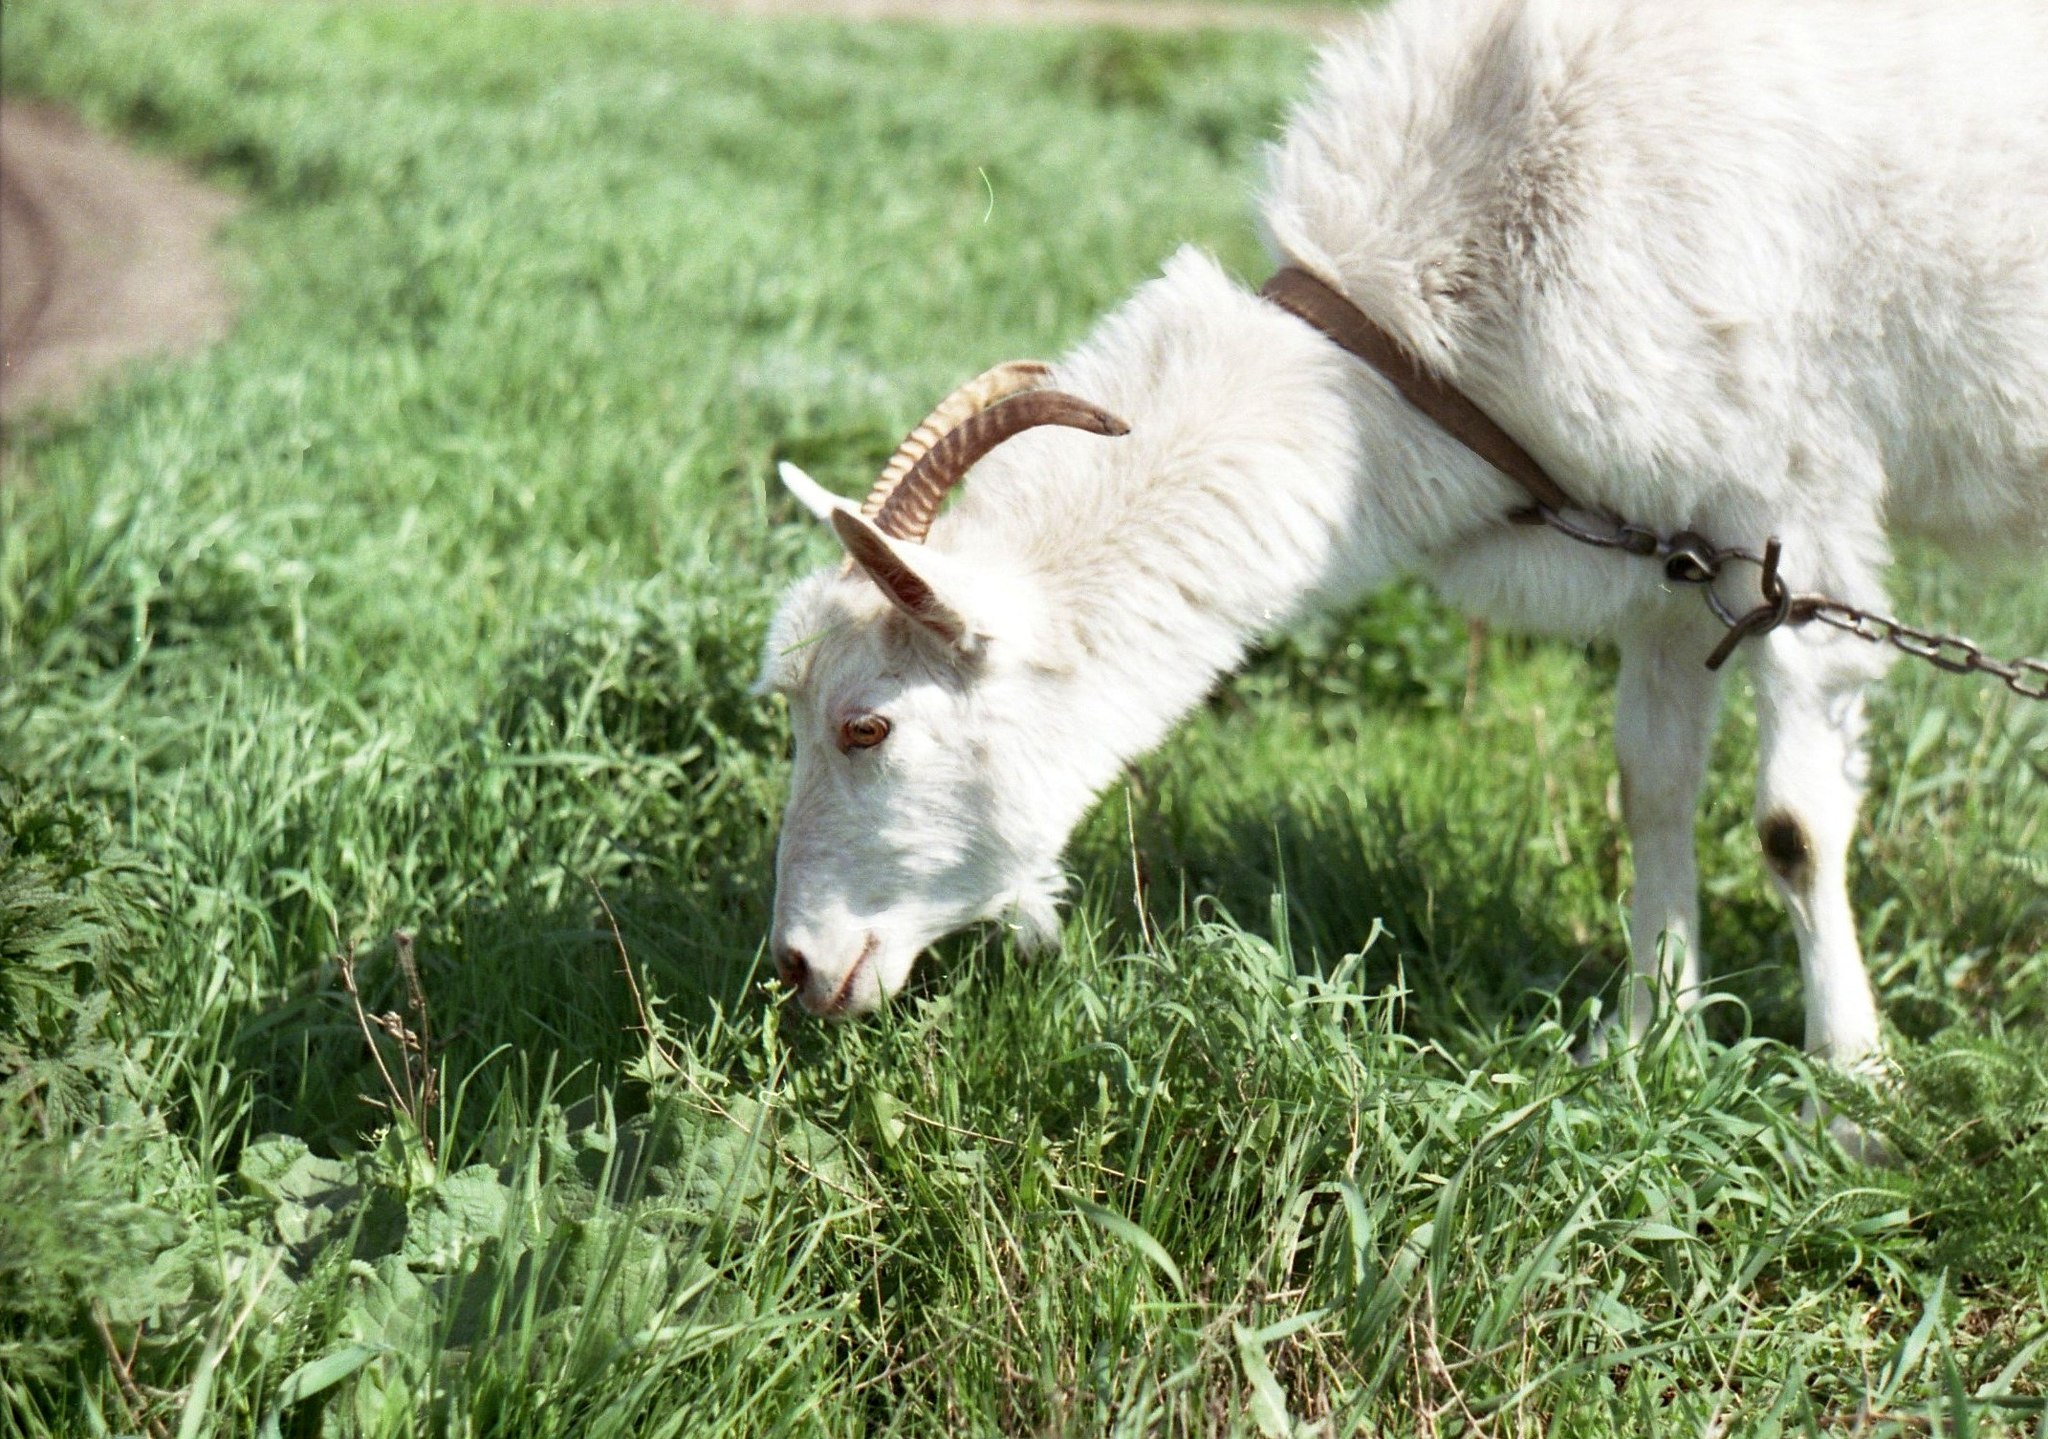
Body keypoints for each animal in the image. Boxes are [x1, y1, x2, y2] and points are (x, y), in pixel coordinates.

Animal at [757, 0, 2048, 1072]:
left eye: (866, 725)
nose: (795, 966)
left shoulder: (1798, 516)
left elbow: (1791, 825)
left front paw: (1848, 1079)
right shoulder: (1673, 554)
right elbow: (1650, 790)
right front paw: (1644, 1040)